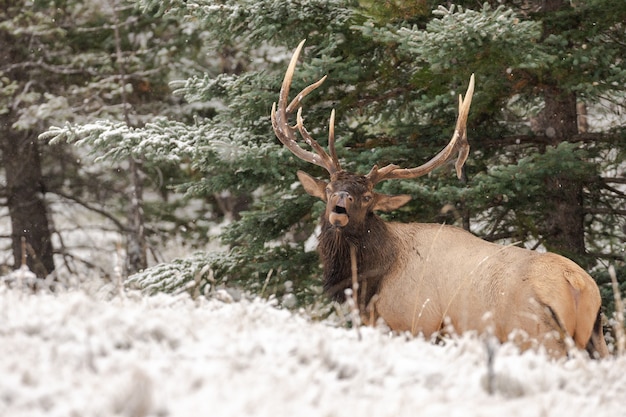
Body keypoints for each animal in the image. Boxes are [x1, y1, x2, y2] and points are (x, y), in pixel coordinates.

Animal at [270, 39, 608, 358]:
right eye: (329, 188)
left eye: (367, 196)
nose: (339, 205)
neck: (371, 280)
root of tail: (577, 283)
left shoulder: (417, 322)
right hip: (595, 337)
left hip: (537, 334)